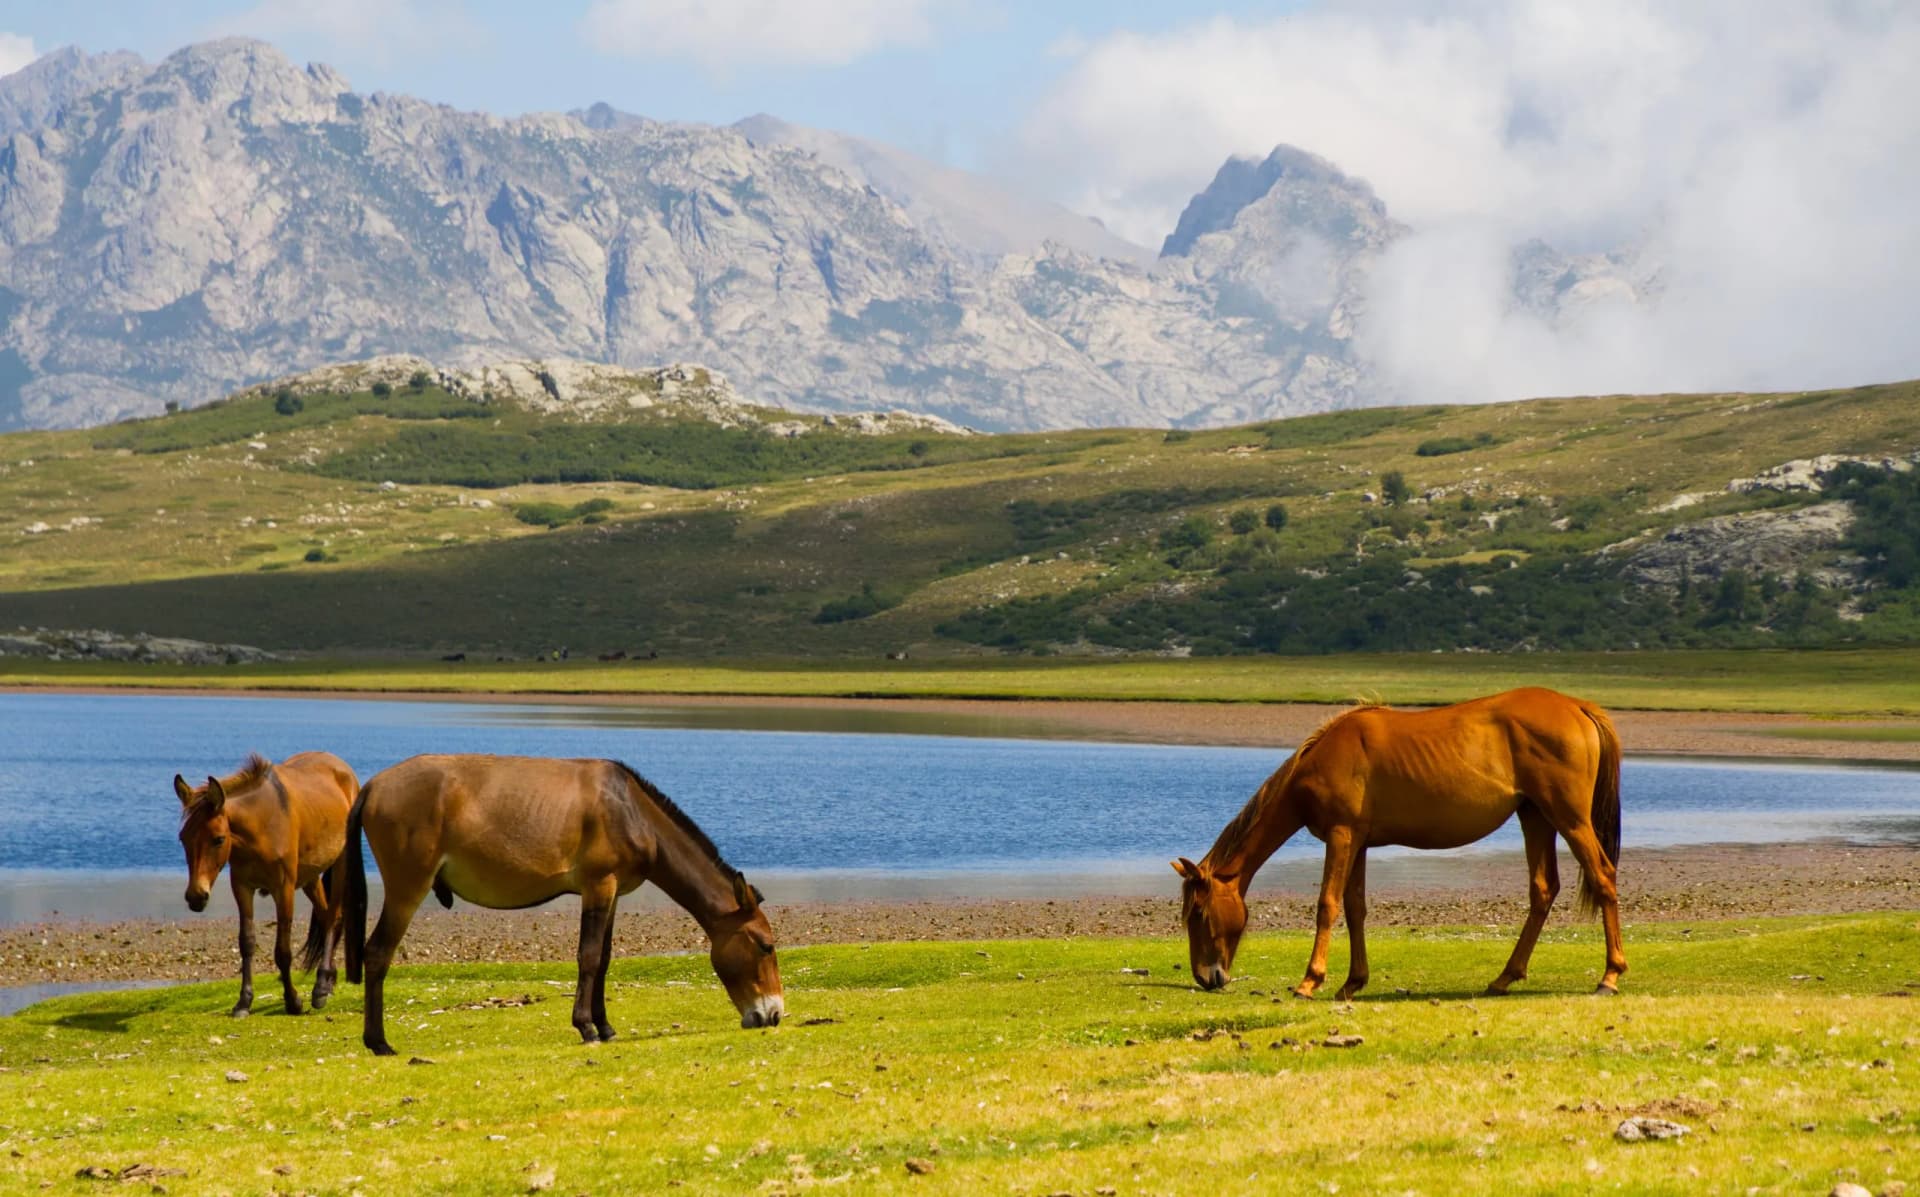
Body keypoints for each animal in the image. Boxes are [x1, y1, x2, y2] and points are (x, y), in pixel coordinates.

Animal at [173, 752, 358, 1016]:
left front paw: (293, 1001)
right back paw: (328, 981)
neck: (261, 827)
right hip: (310, 877)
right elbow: (247, 943)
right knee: (325, 917)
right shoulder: (242, 887)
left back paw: (321, 988)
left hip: (340, 863)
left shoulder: (283, 889)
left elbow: (282, 951)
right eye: (183, 838)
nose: (196, 896)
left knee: (333, 917)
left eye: (218, 839)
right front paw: (243, 1002)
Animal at [343, 754, 784, 1056]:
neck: (631, 811)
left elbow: (603, 959)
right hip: (407, 888)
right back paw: (378, 1042)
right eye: (766, 946)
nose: (774, 1015)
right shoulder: (599, 885)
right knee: (377, 953)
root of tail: (373, 787)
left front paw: (605, 1027)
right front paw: (585, 1026)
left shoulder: (613, 892)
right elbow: (587, 957)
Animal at [1173, 687, 1624, 999]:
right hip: (1535, 817)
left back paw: (1610, 976)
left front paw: (1309, 981)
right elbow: (1354, 908)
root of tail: (1578, 707)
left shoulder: (1340, 837)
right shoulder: (1358, 842)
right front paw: (1352, 983)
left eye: (1198, 913)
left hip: (1569, 819)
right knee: (1543, 890)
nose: (1207, 978)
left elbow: (1326, 905)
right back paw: (1503, 978)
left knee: (1602, 876)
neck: (1322, 761)